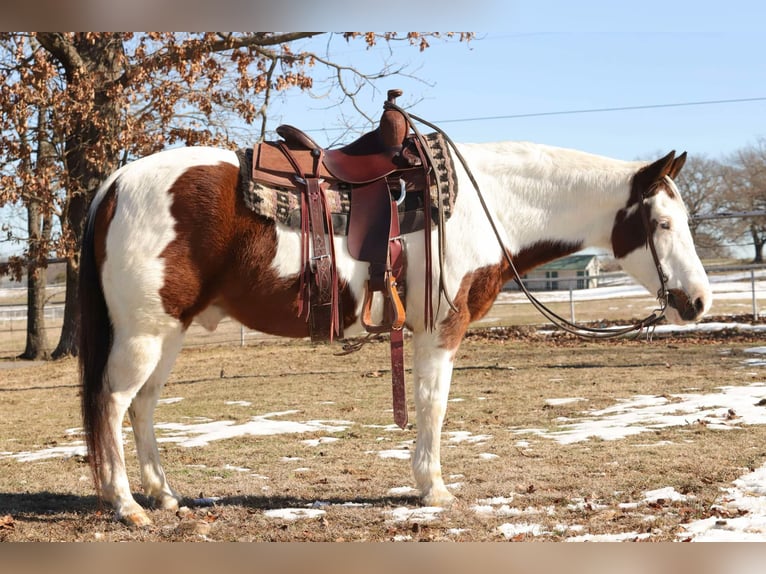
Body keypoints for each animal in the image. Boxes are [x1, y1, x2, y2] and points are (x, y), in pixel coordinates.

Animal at [78, 138, 712, 526]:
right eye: (662, 223)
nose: (699, 302)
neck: (485, 205)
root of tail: (118, 181)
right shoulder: (442, 331)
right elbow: (434, 406)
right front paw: (433, 488)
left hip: (168, 334)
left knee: (143, 406)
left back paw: (164, 495)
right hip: (144, 334)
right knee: (112, 403)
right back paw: (126, 505)